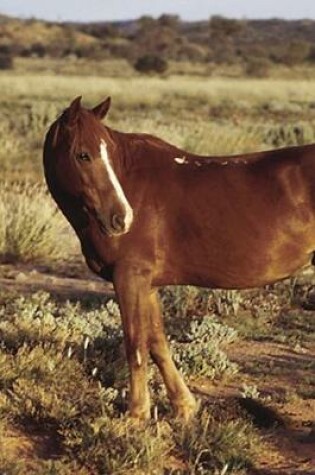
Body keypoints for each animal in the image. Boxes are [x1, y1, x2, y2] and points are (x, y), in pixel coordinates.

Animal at [43, 96, 315, 420]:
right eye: (83, 155)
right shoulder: (147, 285)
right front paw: (183, 407)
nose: (122, 218)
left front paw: (136, 415)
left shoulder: (129, 277)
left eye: (107, 151)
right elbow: (156, 342)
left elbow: (135, 342)